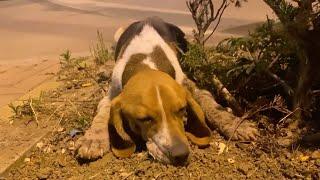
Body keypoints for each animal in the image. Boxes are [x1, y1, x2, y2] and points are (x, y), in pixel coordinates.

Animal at [76, 16, 258, 165]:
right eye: (144, 119)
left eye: (182, 110)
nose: (180, 155)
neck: (146, 62)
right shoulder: (112, 92)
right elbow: (103, 111)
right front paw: (93, 139)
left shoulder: (185, 81)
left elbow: (208, 101)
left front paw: (236, 124)